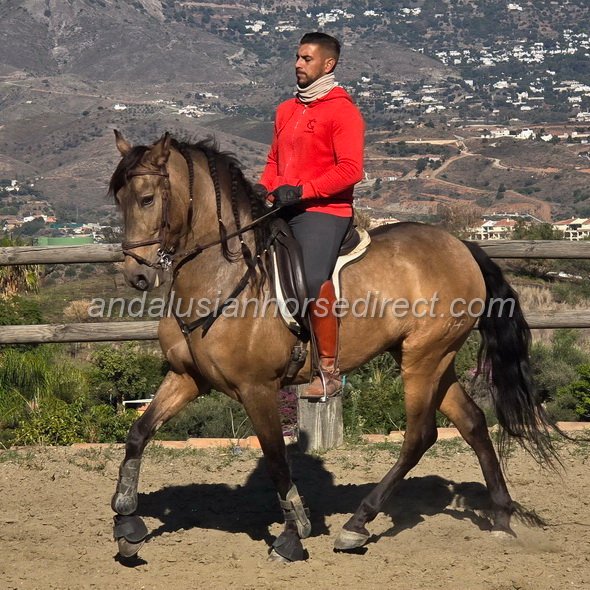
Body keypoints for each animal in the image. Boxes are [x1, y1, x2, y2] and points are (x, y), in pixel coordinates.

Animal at [108, 130, 558, 562]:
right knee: (473, 422)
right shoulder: (188, 377)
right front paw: (126, 522)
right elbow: (138, 433)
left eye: (147, 198)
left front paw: (293, 535)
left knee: (420, 435)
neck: (222, 276)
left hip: (423, 359)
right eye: (119, 201)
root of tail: (462, 246)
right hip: (432, 357)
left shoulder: (257, 388)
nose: (135, 276)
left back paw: (357, 524)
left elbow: (277, 461)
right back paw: (501, 517)